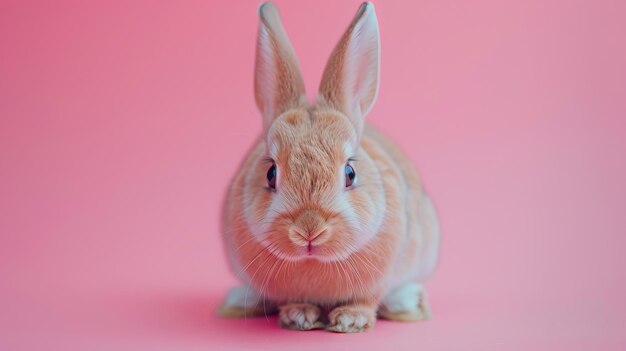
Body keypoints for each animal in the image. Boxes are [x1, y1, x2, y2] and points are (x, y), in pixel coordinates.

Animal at [217, 1, 442, 334]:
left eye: (350, 173)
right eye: (271, 174)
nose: (309, 230)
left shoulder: (376, 281)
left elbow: (365, 301)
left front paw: (350, 321)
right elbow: (292, 300)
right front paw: (298, 317)